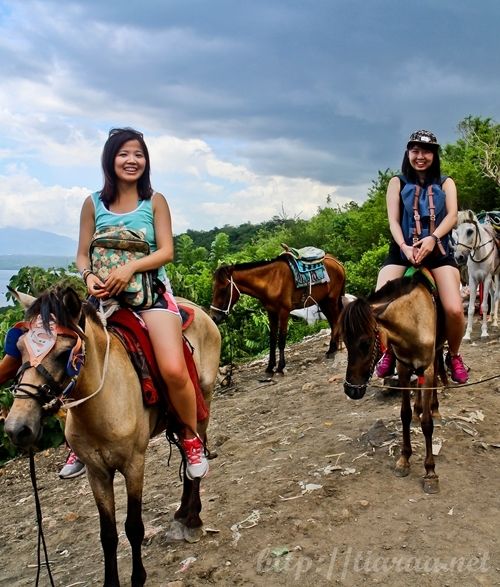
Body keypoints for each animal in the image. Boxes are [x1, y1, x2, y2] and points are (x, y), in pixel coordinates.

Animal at [5, 288, 221, 584]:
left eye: (63, 353)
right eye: (20, 348)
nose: (17, 428)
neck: (102, 404)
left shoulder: (133, 465)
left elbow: (133, 527)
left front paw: (138, 577)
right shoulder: (97, 472)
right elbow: (107, 534)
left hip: (202, 402)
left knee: (195, 459)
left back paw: (192, 520)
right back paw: (182, 514)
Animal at [340, 274, 446, 494]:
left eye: (365, 343)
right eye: (345, 342)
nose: (351, 390)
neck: (412, 319)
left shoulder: (427, 369)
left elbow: (427, 423)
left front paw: (430, 472)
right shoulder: (403, 368)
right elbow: (404, 414)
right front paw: (404, 460)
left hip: (436, 354)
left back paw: (434, 408)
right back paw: (419, 409)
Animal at [456, 210, 498, 340]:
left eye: (470, 231)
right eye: (457, 233)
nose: (458, 257)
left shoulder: (487, 278)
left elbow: (484, 306)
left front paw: (484, 332)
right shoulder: (473, 280)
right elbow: (470, 308)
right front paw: (467, 334)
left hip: (496, 275)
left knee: (497, 295)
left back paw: (495, 322)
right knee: (493, 293)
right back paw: (491, 318)